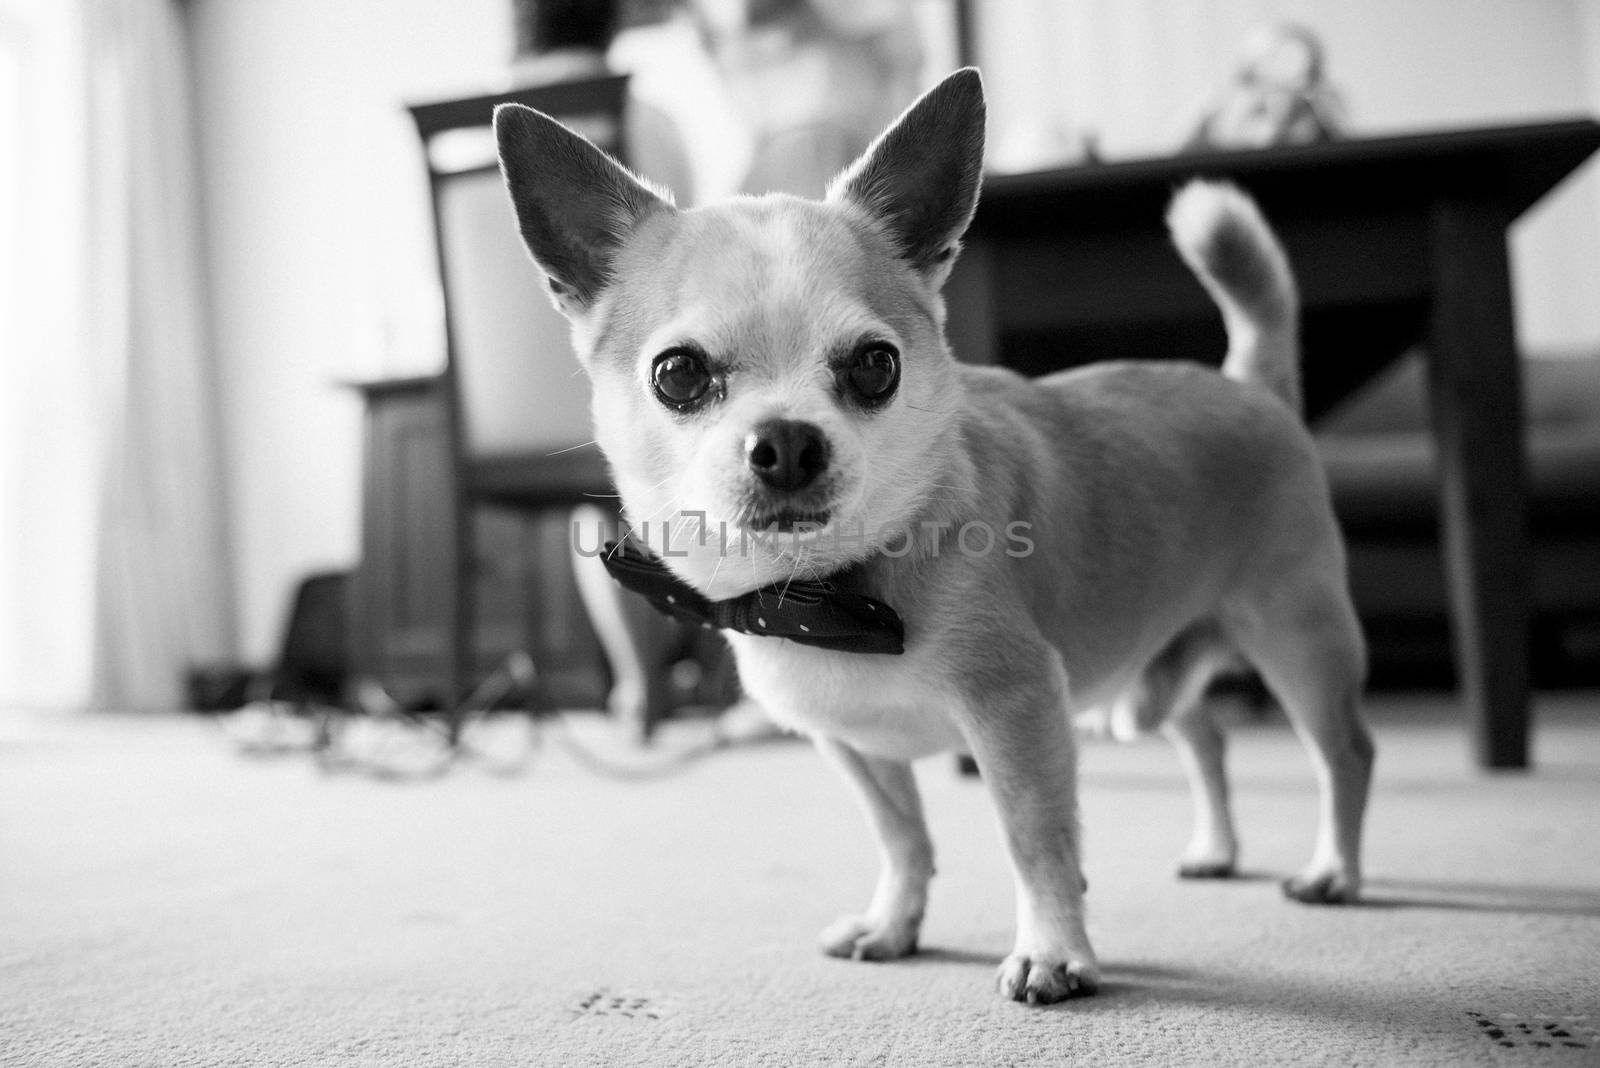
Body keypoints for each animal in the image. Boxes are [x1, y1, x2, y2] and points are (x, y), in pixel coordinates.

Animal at [492, 68, 1369, 1010]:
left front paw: (1054, 950)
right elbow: (904, 837)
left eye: (876, 365)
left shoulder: (1018, 713)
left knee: (1346, 753)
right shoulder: (856, 745)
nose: (788, 441)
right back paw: (1216, 850)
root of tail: (1250, 386)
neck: (826, 589)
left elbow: (1036, 839)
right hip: (1151, 679)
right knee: (1208, 737)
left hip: (1297, 639)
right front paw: (894, 925)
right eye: (678, 375)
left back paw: (1334, 871)